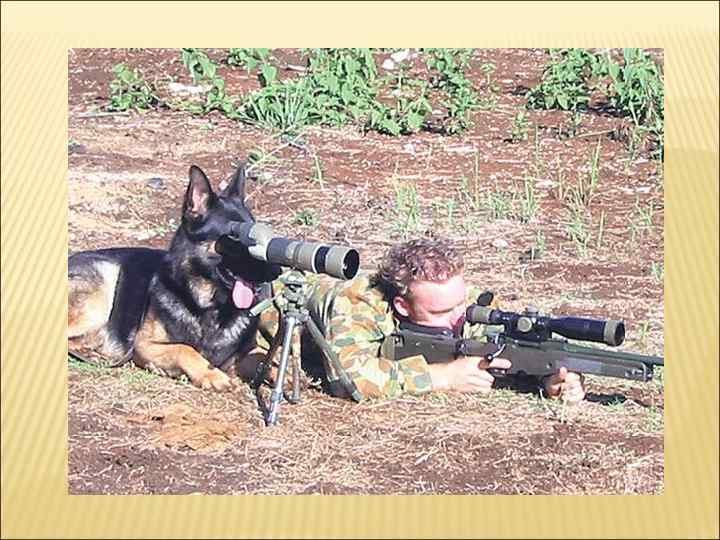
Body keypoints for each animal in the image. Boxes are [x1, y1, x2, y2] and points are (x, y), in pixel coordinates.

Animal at [68, 163, 281, 391]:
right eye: (235, 238)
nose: (276, 271)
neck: (209, 307)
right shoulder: (143, 345)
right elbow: (184, 349)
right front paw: (210, 374)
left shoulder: (243, 354)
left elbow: (264, 359)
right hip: (101, 293)